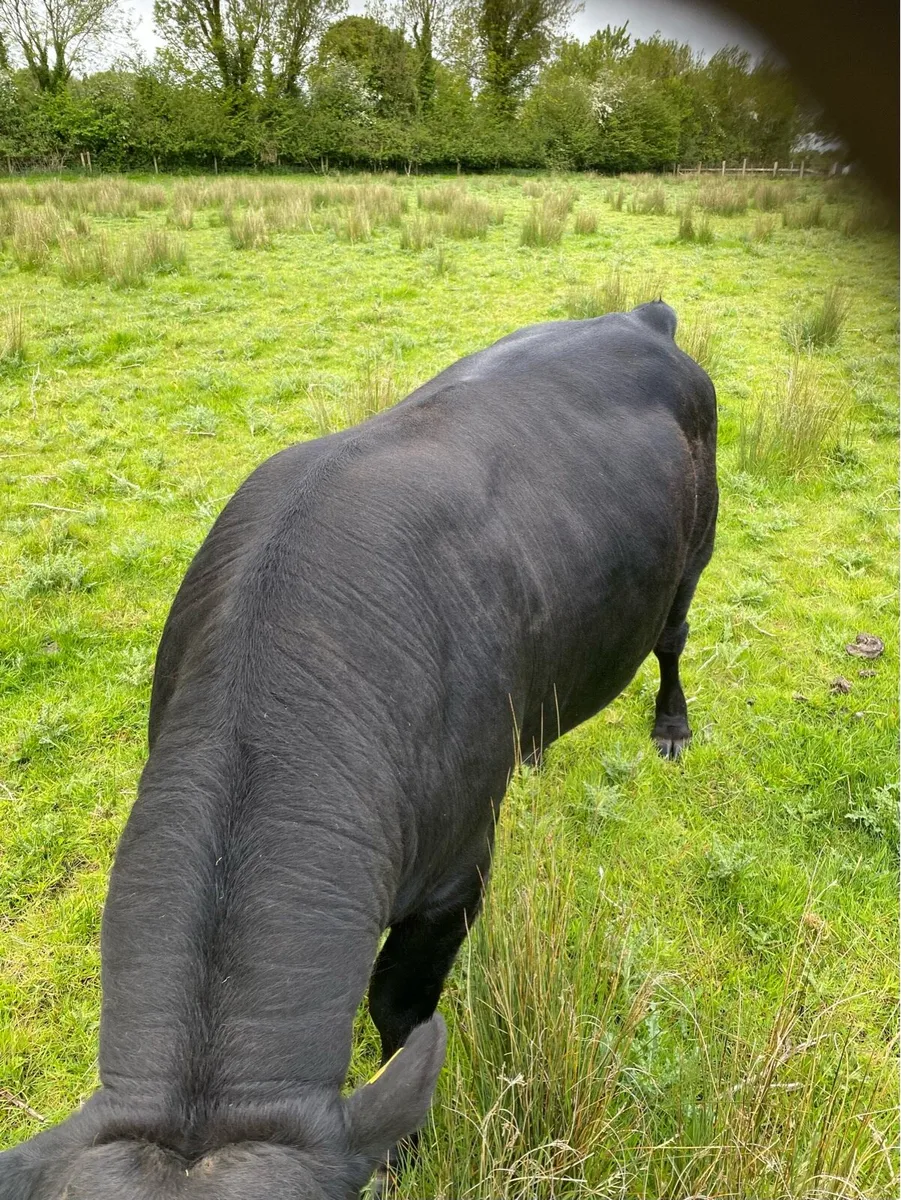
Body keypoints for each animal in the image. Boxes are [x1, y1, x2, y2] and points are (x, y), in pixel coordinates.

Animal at [0, 300, 717, 1199]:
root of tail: (639, 316)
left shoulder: (454, 876)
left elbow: (400, 1011)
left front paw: (405, 1150)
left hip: (692, 558)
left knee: (672, 641)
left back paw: (671, 726)